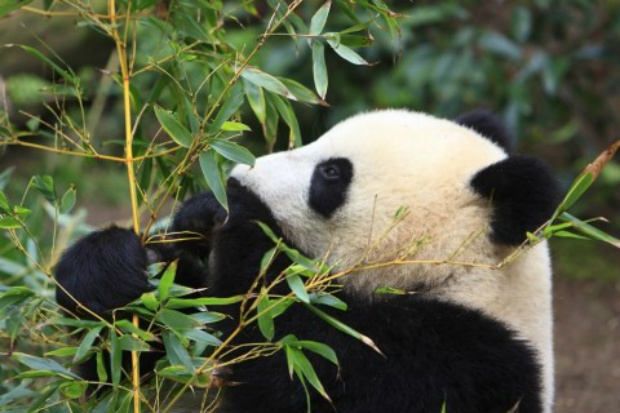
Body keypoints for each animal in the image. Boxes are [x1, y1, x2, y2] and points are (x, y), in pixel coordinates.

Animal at [54, 108, 556, 412]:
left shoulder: (461, 362)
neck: (460, 277)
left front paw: (244, 220)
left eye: (330, 173)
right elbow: (130, 368)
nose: (235, 177)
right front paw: (120, 268)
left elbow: (302, 359)